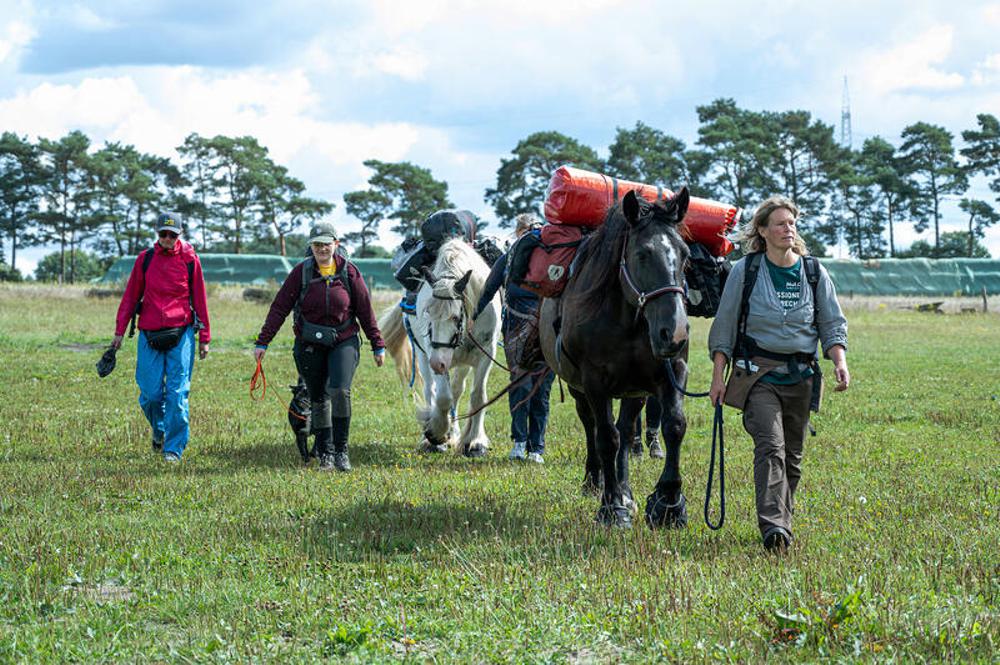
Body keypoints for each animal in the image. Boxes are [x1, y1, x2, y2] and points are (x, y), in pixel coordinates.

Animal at [376, 237, 500, 456]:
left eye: (456, 317)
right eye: (427, 313)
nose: (437, 363)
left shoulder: (487, 352)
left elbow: (478, 395)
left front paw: (475, 442)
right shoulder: (435, 355)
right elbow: (442, 397)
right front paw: (437, 433)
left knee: (458, 390)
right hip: (423, 356)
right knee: (431, 391)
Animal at [540, 188, 696, 528]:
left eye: (685, 254)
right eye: (642, 254)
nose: (674, 333)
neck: (631, 320)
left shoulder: (671, 372)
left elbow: (674, 426)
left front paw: (668, 502)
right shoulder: (594, 382)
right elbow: (606, 438)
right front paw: (611, 507)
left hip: (634, 390)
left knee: (626, 432)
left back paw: (626, 490)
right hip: (581, 389)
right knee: (592, 427)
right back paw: (595, 481)